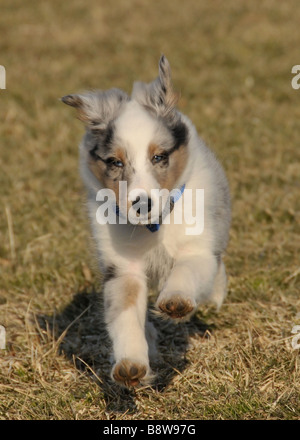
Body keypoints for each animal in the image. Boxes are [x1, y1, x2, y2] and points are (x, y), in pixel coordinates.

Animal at [60, 55, 230, 388]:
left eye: (159, 157)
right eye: (115, 162)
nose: (141, 204)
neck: (154, 226)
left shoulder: (199, 248)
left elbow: (186, 270)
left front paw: (175, 301)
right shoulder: (122, 268)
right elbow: (125, 314)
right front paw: (131, 365)